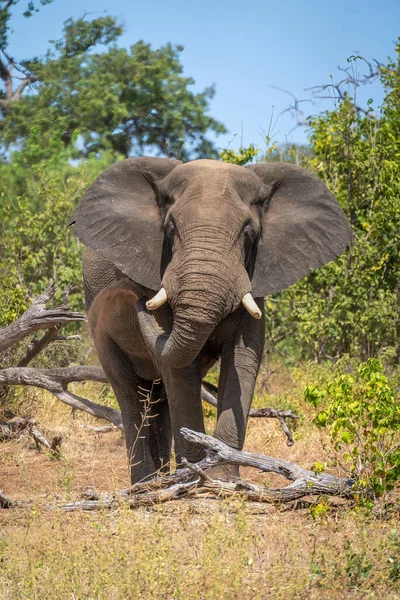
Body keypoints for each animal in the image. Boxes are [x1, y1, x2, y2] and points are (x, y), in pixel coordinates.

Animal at [70, 158, 352, 482]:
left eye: (248, 233)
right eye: (170, 229)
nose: (134, 296)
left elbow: (243, 358)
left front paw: (222, 478)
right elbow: (180, 371)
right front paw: (195, 477)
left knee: (158, 395)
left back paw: (163, 476)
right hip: (99, 327)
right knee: (130, 392)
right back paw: (147, 484)